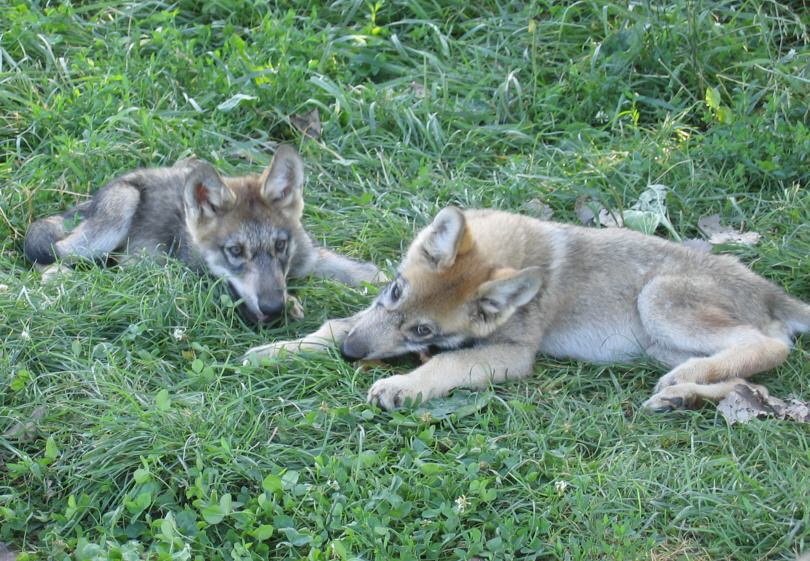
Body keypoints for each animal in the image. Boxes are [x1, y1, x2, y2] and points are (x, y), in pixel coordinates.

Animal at [22, 144, 382, 324]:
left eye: (280, 245)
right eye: (235, 251)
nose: (272, 307)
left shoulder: (309, 258)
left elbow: (360, 270)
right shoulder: (192, 274)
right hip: (114, 217)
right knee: (51, 255)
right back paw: (60, 279)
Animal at [246, 206, 808, 412]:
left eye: (424, 332)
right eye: (395, 292)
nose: (351, 354)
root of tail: (772, 292)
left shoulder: (512, 355)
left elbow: (447, 365)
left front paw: (401, 386)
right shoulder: (369, 312)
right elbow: (334, 322)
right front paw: (277, 351)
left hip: (658, 302)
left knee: (770, 346)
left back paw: (684, 386)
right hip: (659, 346)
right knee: (746, 381)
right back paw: (680, 395)